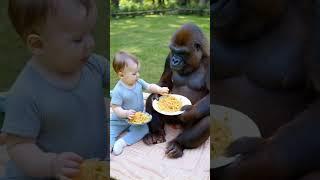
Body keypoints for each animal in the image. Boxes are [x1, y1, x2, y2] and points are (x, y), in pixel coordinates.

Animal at [142, 23, 210, 158]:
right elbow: (165, 82)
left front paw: (187, 113)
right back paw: (157, 133)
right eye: (173, 51)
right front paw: (157, 94)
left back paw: (178, 144)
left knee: (208, 119)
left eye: (182, 53)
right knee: (150, 100)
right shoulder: (168, 58)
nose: (175, 60)